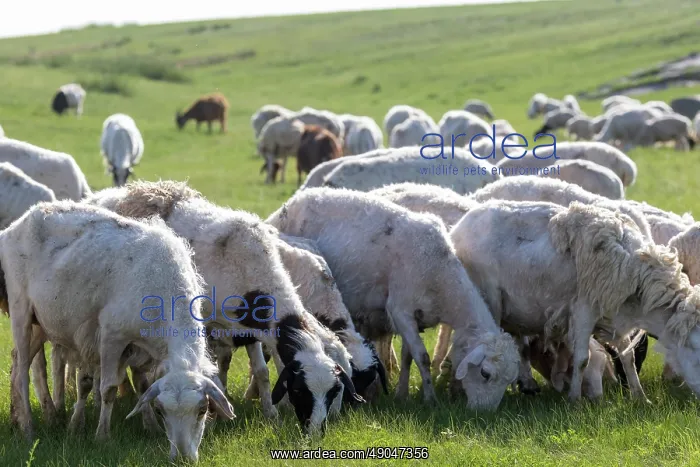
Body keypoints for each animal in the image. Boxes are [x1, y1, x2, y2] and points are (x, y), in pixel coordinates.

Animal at [1, 201, 234, 460]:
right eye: (162, 411)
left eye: (203, 409)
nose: (182, 457)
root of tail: (18, 223)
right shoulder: (112, 337)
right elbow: (109, 389)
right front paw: (102, 436)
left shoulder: (142, 349)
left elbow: (143, 386)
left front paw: (150, 428)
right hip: (20, 308)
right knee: (22, 371)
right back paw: (28, 428)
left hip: (41, 321)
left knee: (15, 364)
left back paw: (17, 418)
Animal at [86, 181, 364, 433]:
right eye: (299, 389)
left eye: (333, 391)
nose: (316, 431)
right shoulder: (206, 324)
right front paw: (215, 415)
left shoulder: (249, 328)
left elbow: (262, 372)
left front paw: (270, 413)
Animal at [267, 187, 521, 409]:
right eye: (485, 373)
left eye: (509, 381)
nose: (484, 412)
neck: (440, 275)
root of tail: (288, 204)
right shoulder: (400, 311)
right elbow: (423, 357)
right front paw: (430, 399)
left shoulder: (415, 318)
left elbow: (409, 356)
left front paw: (402, 394)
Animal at [450, 199, 700, 403]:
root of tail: (459, 226)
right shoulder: (583, 310)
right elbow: (582, 359)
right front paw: (575, 399)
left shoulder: (614, 314)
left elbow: (627, 357)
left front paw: (640, 397)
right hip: (489, 297)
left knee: (518, 344)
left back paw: (526, 384)